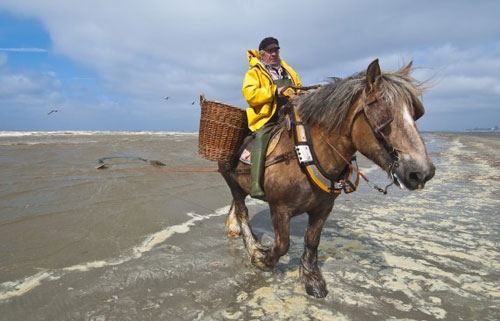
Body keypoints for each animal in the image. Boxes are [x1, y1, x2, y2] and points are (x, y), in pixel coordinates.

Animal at [218, 58, 434, 298]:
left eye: (415, 113)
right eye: (384, 115)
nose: (422, 172)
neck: (305, 154)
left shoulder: (323, 208)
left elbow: (312, 241)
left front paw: (311, 278)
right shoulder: (280, 208)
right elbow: (282, 244)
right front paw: (260, 258)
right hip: (232, 181)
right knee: (242, 211)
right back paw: (250, 243)